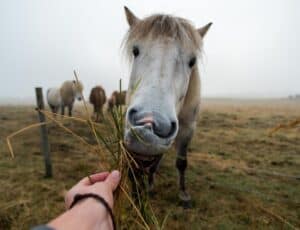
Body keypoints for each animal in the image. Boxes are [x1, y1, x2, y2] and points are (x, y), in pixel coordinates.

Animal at [122, 6, 211, 207]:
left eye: (192, 61)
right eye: (135, 50)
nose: (149, 123)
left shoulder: (187, 129)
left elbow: (181, 161)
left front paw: (183, 194)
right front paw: (142, 188)